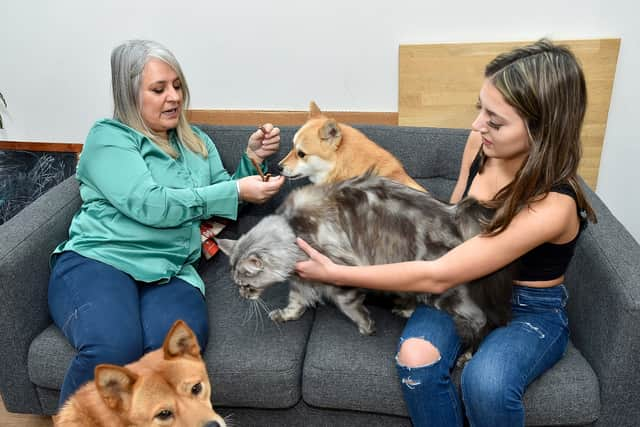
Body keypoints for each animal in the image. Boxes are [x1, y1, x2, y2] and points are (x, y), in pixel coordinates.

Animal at [218, 174, 512, 352]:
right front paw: (287, 315)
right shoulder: (301, 279)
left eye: (247, 284)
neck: (292, 229)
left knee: (480, 320)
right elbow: (296, 302)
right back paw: (405, 308)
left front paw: (365, 325)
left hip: (443, 288)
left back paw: (468, 352)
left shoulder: (337, 270)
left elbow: (348, 304)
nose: (242, 295)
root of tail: (454, 213)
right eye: (238, 284)